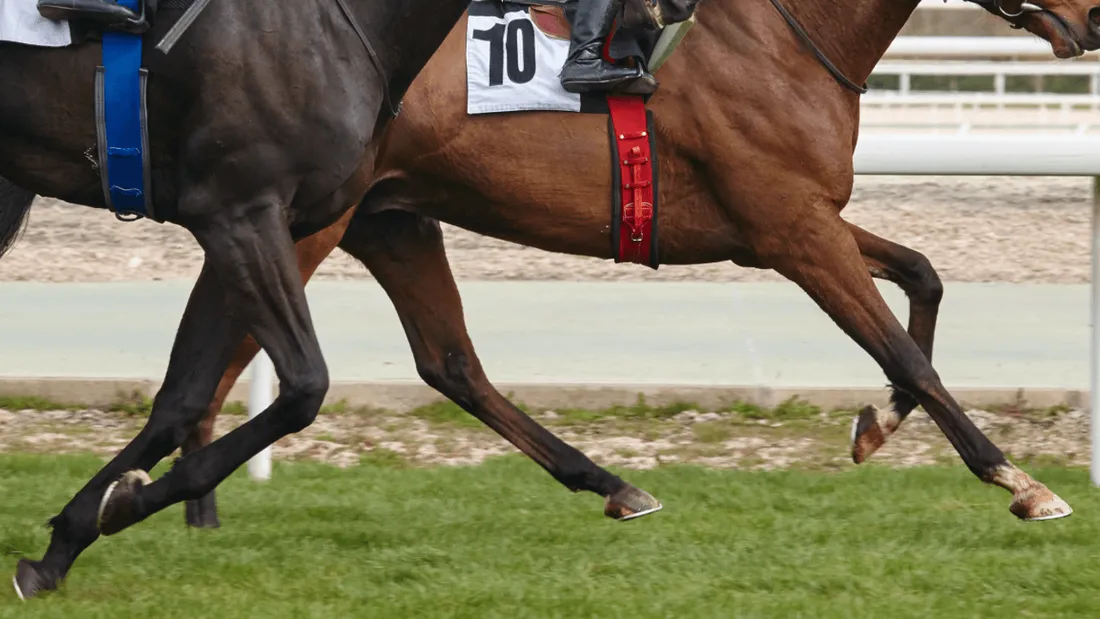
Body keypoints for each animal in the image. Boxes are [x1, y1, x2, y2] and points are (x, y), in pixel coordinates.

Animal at [0, 0, 689, 599]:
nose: (665, 21)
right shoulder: (239, 211)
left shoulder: (265, 220)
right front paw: (121, 506)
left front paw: (74, 536)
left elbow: (183, 396)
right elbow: (305, 386)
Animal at [175, 0, 1100, 530]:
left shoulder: (791, 221)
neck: (779, 37)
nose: (1091, 16)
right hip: (308, 223)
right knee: (220, 363)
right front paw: (1020, 479)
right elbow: (905, 350)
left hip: (387, 217)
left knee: (448, 363)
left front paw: (877, 425)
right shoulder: (793, 229)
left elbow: (924, 275)